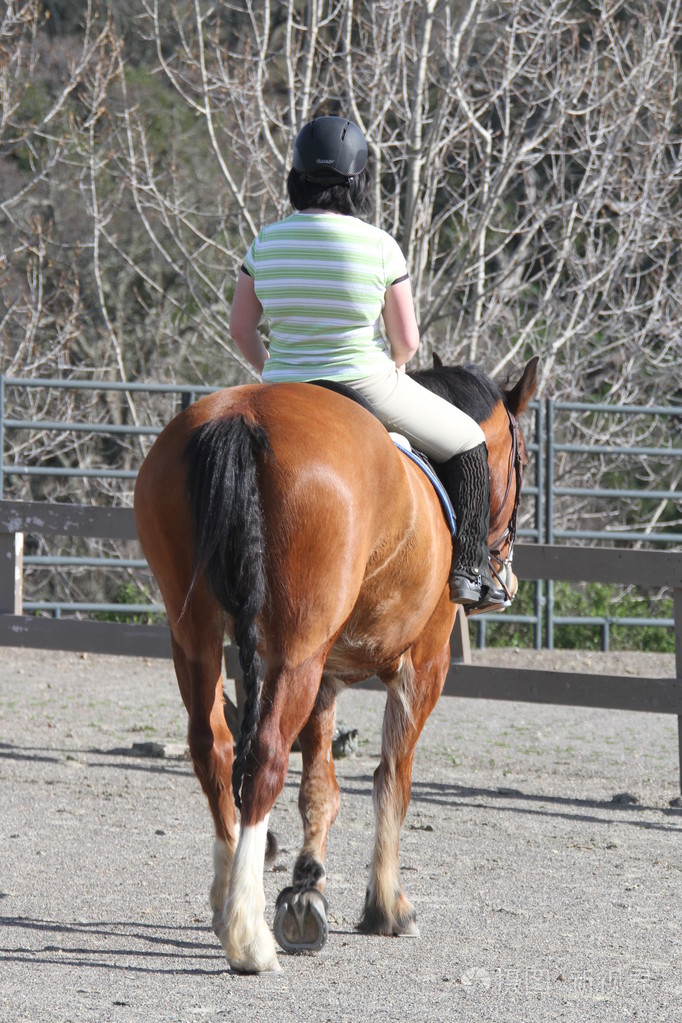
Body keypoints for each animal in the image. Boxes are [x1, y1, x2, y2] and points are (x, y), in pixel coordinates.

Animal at [132, 358, 539, 973]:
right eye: (523, 461)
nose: (504, 578)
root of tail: (242, 415)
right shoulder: (424, 666)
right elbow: (392, 779)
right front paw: (387, 907)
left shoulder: (324, 677)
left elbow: (320, 787)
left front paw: (307, 887)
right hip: (298, 648)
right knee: (266, 755)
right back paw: (248, 937)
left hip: (196, 634)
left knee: (214, 747)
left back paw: (227, 899)